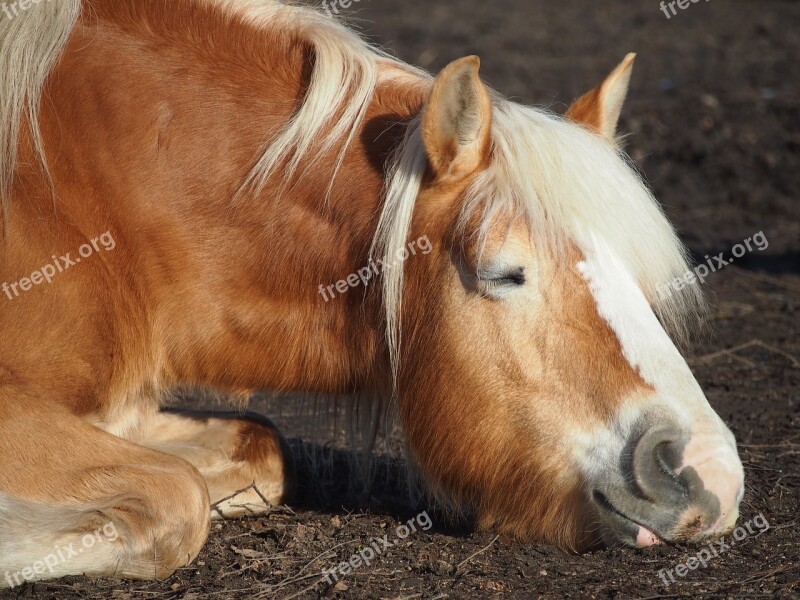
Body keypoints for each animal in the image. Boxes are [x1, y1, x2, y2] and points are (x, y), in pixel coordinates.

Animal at [0, 0, 744, 584]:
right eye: (505, 273)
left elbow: (260, 447)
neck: (83, 190)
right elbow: (175, 499)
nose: (711, 472)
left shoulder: (123, 410)